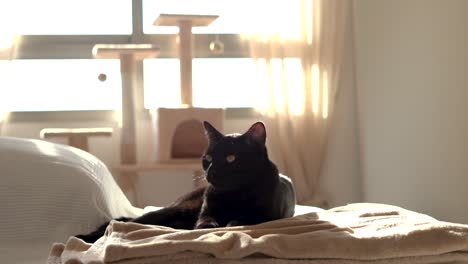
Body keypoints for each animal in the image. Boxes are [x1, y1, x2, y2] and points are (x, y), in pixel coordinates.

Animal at [77, 121, 296, 243]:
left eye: (231, 158)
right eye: (208, 158)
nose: (211, 170)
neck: (233, 194)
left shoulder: (267, 216)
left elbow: (245, 219)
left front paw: (232, 222)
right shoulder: (206, 212)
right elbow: (205, 222)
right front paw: (210, 227)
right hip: (173, 210)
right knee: (125, 223)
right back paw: (84, 237)